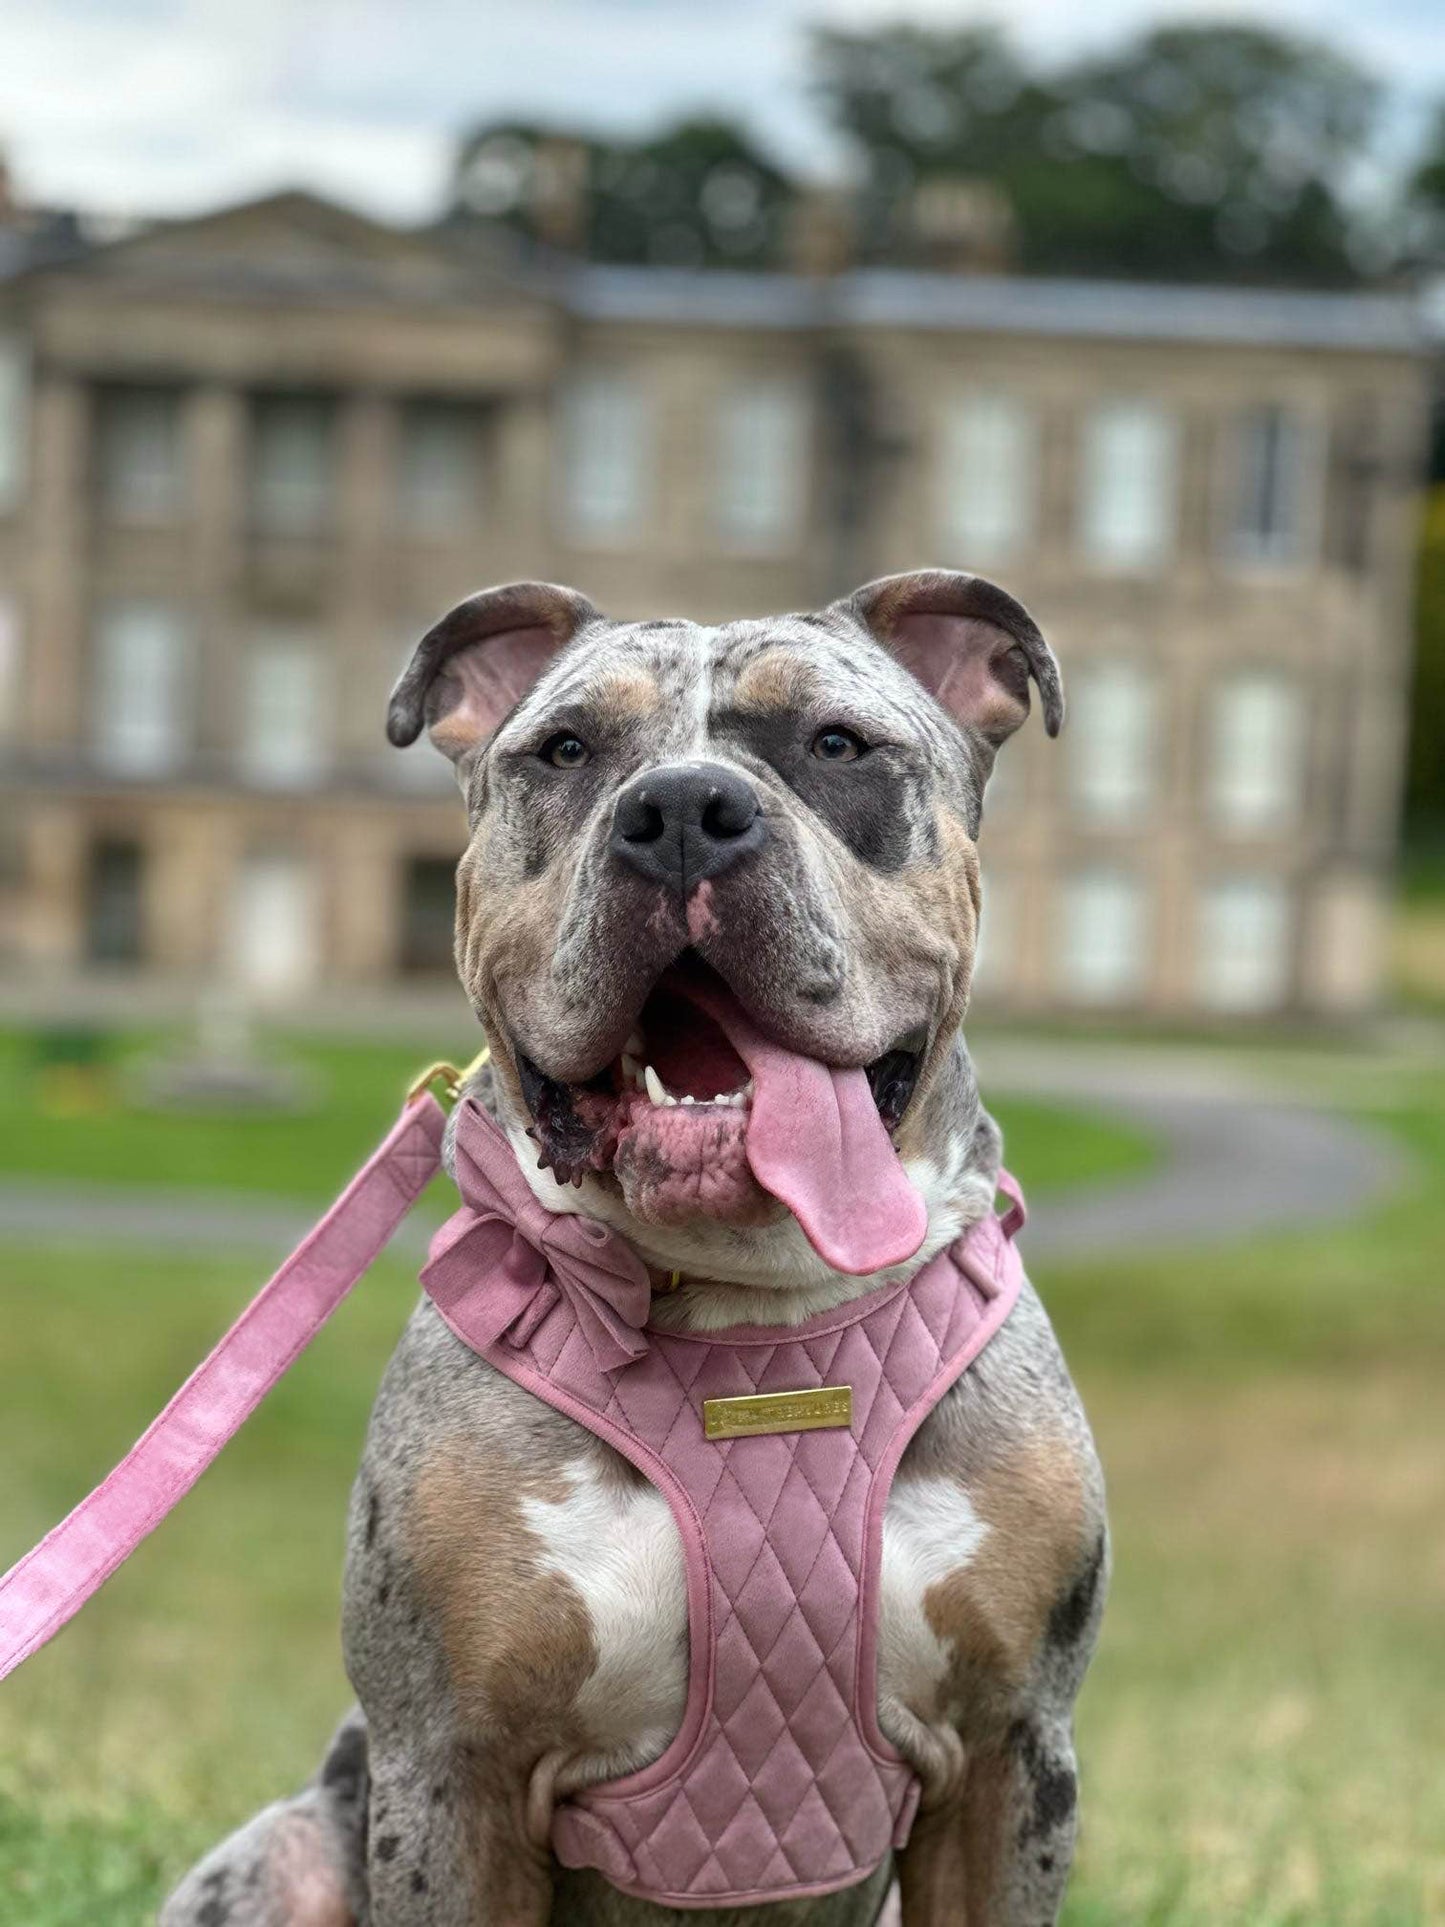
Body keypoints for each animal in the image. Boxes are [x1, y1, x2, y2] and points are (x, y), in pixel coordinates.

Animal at [160, 570, 1109, 1927]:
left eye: (834, 744)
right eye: (565, 749)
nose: (680, 812)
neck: (747, 1308)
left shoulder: (1010, 1759)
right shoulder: (448, 1775)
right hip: (281, 1859)